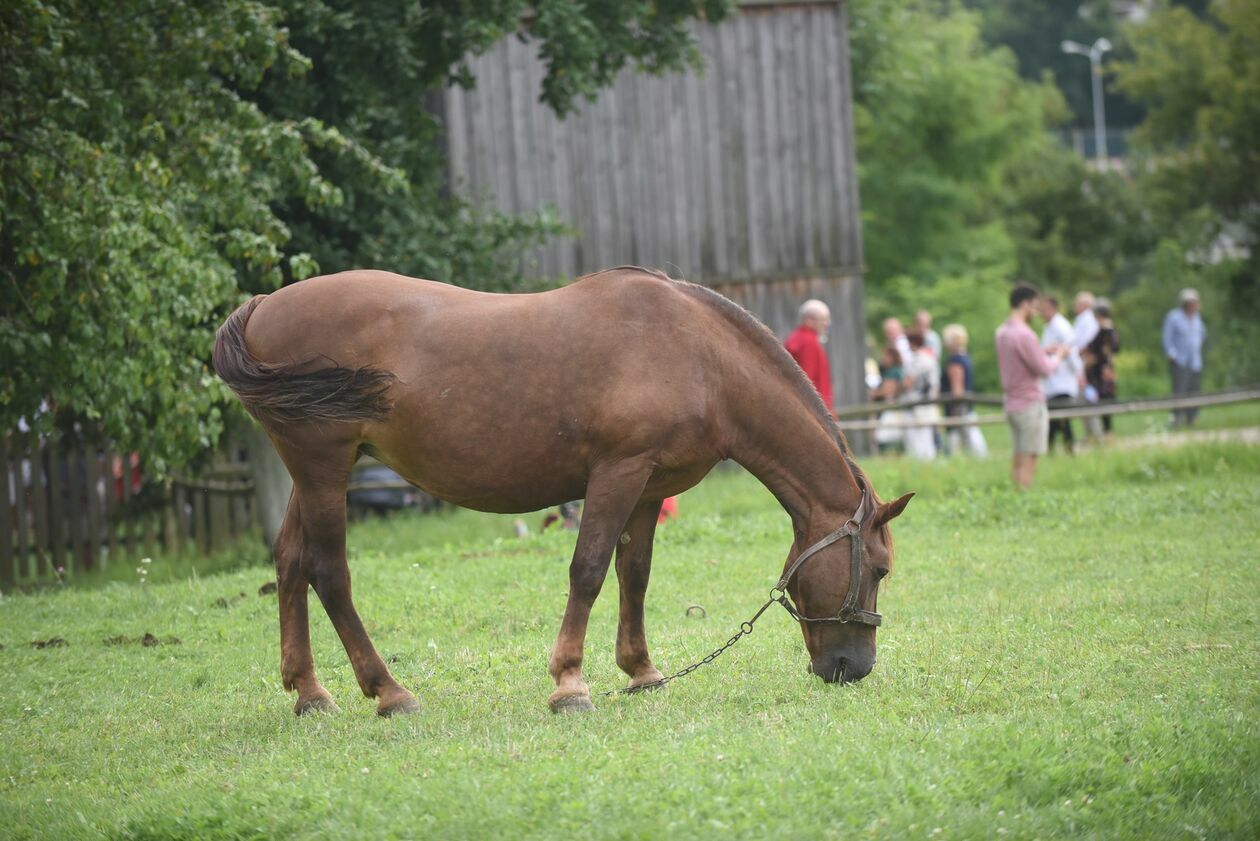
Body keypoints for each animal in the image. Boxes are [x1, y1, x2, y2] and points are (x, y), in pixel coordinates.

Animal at [211, 266, 912, 716]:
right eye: (878, 569)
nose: (854, 670)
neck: (699, 357)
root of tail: (263, 305)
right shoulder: (618, 473)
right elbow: (590, 568)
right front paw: (570, 684)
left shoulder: (649, 488)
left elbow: (635, 574)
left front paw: (641, 672)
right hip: (323, 466)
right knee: (330, 573)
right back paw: (389, 693)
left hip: (315, 472)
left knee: (291, 562)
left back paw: (310, 693)